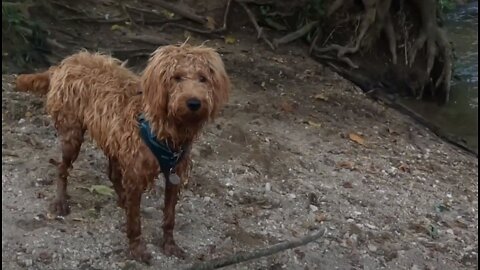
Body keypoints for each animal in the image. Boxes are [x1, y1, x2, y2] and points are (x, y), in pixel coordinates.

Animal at [15, 45, 230, 262]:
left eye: (203, 78)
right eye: (176, 77)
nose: (194, 103)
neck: (165, 129)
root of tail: (66, 62)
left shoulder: (174, 175)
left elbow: (169, 217)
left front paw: (169, 244)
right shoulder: (136, 174)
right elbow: (135, 223)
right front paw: (136, 249)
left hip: (113, 141)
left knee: (112, 174)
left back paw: (123, 200)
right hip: (72, 135)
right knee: (62, 168)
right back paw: (61, 202)